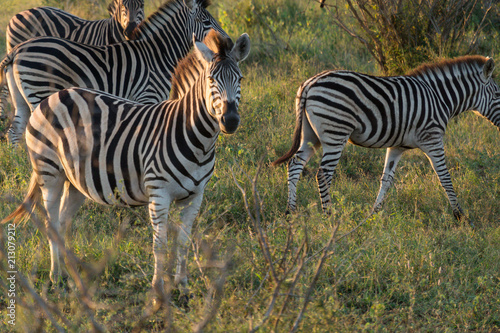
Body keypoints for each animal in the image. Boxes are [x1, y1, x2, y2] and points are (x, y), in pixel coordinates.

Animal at [2, 30, 254, 290]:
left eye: (241, 79)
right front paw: (158, 289)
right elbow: (160, 244)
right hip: (49, 170)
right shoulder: (158, 193)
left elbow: (183, 242)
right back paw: (56, 277)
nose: (230, 120)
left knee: (62, 224)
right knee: (52, 223)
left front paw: (183, 286)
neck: (196, 141)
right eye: (211, 80)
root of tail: (55, 96)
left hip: (74, 181)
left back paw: (70, 277)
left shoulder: (195, 197)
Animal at [274, 55, 500, 219]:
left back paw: (290, 211)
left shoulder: (397, 146)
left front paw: (374, 215)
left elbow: (386, 180)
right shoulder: (433, 139)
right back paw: (329, 215)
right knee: (323, 174)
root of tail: (309, 84)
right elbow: (444, 177)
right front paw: (460, 216)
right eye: (499, 95)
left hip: (311, 135)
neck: (440, 98)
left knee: (295, 164)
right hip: (335, 132)